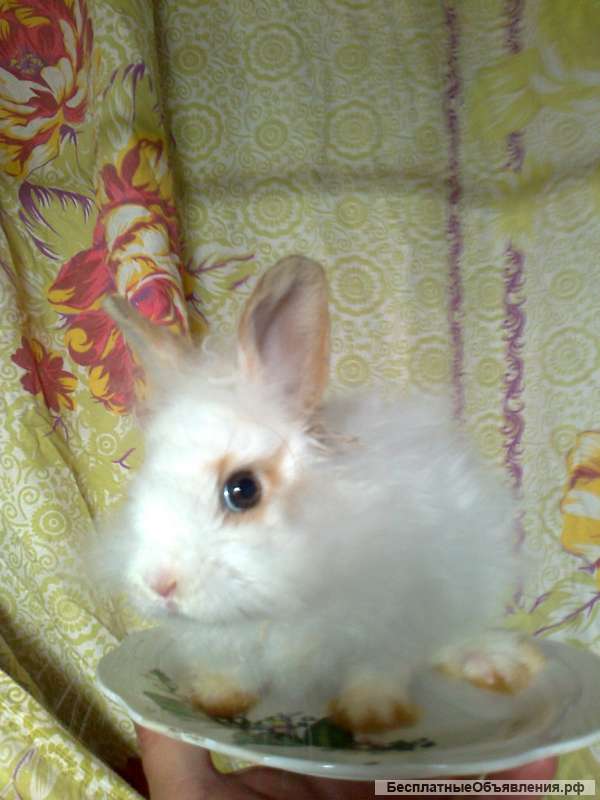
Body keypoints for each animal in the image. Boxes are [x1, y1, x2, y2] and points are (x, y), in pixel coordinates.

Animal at [96, 255, 544, 733]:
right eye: (144, 479)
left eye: (243, 490)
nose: (159, 584)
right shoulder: (231, 643)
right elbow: (232, 671)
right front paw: (214, 701)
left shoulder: (392, 620)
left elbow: (377, 671)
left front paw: (371, 718)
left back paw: (495, 664)